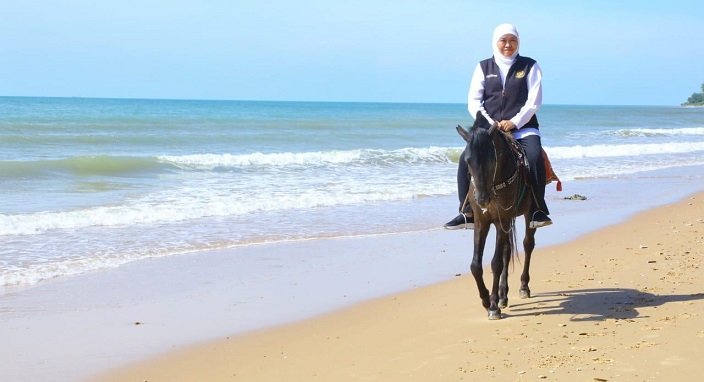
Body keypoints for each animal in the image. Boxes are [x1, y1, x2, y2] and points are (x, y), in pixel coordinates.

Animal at [460, 118, 536, 320]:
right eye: (467, 160)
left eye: (491, 159)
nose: (482, 199)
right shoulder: (482, 222)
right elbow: (476, 265)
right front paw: (487, 300)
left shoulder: (502, 220)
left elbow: (496, 263)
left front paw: (493, 306)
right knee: (507, 251)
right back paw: (503, 295)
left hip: (527, 215)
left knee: (528, 245)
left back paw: (523, 287)